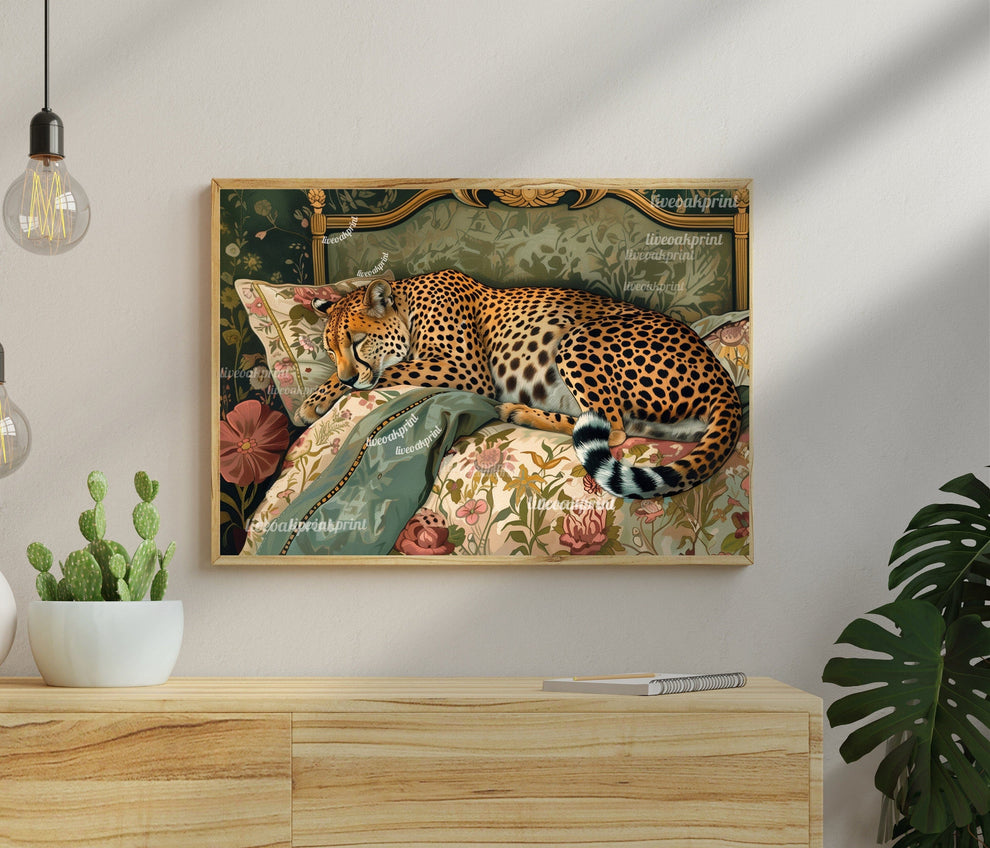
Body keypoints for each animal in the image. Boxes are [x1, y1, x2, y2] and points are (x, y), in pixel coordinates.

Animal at [298, 269, 742, 499]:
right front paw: (325, 391)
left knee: (612, 428)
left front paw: (315, 400)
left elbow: (384, 375)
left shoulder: (466, 371)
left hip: (578, 336)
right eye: (328, 348)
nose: (346, 372)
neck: (408, 305)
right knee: (620, 426)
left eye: (356, 341)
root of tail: (722, 375)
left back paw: (520, 412)